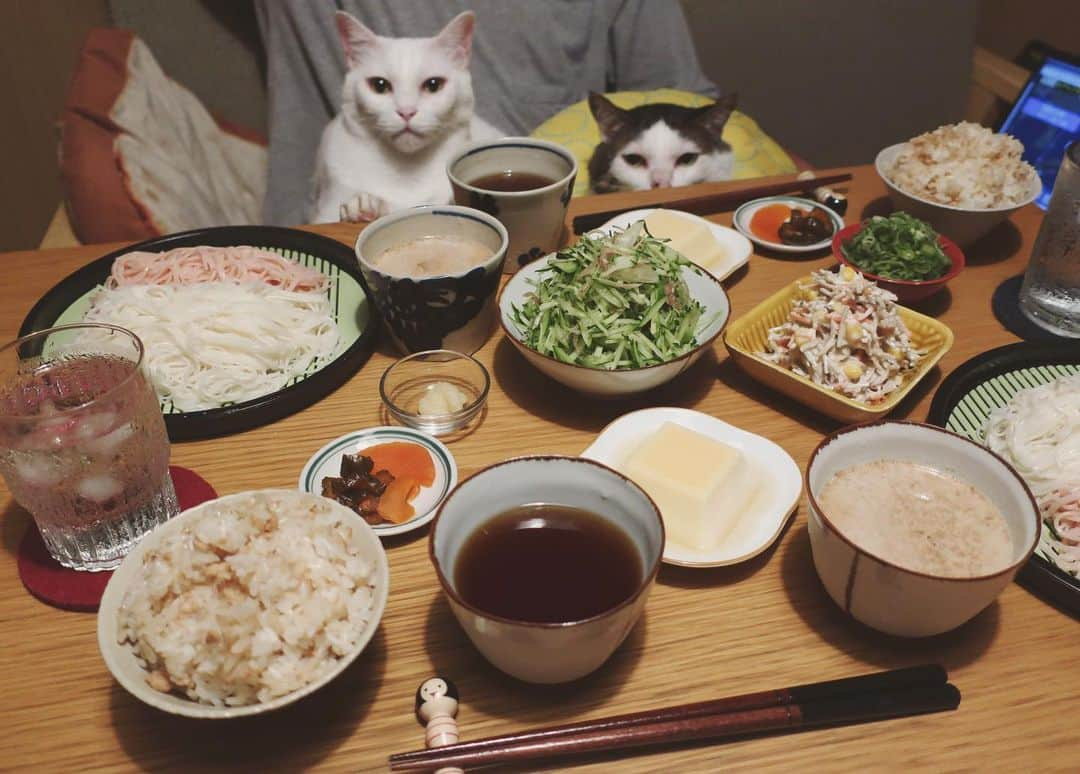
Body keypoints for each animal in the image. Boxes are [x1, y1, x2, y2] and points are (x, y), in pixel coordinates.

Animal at [308, 12, 501, 223]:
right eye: (380, 85)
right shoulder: (325, 212)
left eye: (433, 85)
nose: (406, 111)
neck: (407, 172)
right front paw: (363, 208)